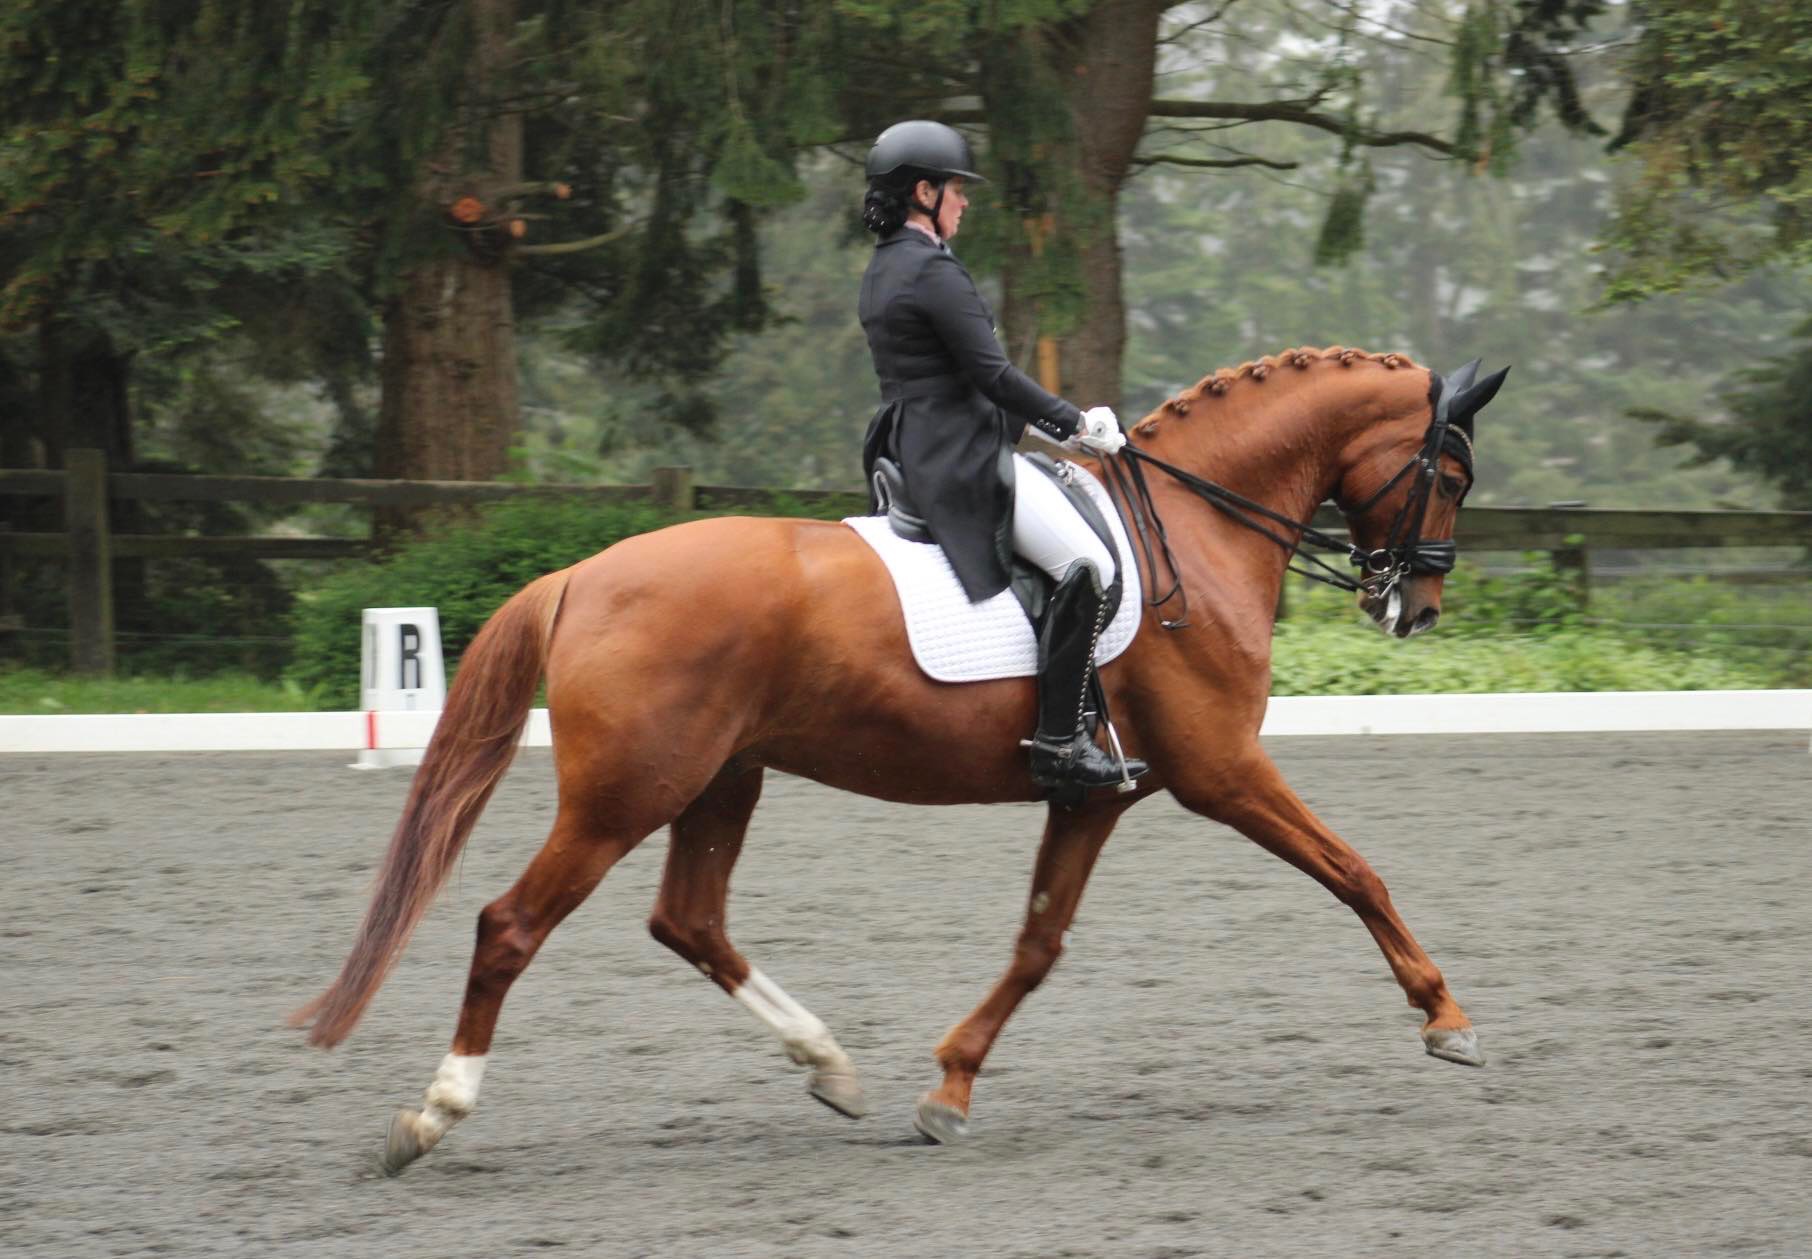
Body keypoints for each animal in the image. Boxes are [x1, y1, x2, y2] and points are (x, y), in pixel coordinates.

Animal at [292, 345, 1508, 1172]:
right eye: (1450, 475)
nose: (1416, 610)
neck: (1197, 536)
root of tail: (581, 576)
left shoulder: (1096, 796)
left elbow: (1037, 942)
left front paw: (951, 1086)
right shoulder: (1221, 771)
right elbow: (1355, 870)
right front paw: (1447, 1018)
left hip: (722, 778)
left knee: (689, 920)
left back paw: (830, 1065)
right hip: (627, 794)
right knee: (513, 924)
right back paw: (433, 1113)